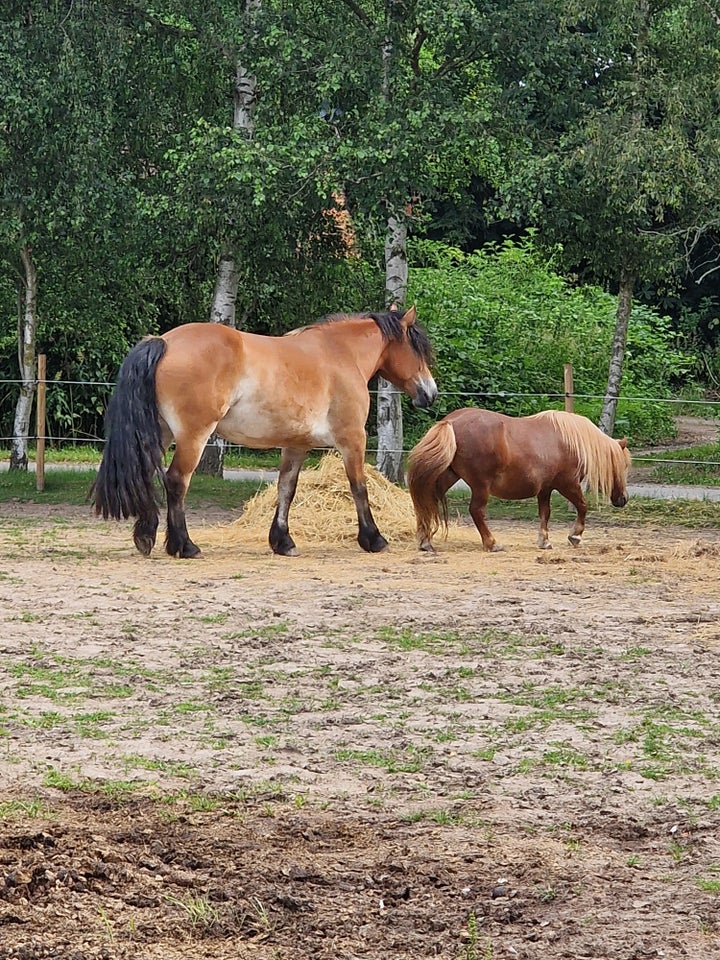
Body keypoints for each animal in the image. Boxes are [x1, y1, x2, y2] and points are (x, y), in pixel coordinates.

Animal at [92, 308, 436, 556]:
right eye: (418, 350)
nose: (430, 393)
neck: (341, 353)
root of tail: (164, 341)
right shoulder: (352, 439)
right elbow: (359, 487)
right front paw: (373, 538)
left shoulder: (296, 445)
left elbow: (286, 489)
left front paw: (282, 541)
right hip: (193, 436)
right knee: (176, 481)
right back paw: (185, 546)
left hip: (161, 434)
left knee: (148, 475)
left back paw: (146, 537)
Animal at [408, 406, 632, 556]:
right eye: (623, 466)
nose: (623, 499)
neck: (570, 441)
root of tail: (451, 422)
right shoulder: (567, 484)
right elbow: (582, 506)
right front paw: (575, 536)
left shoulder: (545, 489)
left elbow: (545, 513)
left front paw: (544, 541)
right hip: (480, 486)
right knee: (476, 511)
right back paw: (492, 543)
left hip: (449, 476)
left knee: (427, 502)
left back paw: (425, 542)